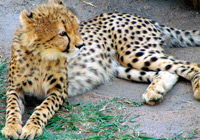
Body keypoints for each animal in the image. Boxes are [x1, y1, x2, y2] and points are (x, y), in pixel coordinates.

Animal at [0, 0, 83, 139]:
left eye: (76, 28)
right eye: (62, 33)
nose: (81, 45)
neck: (42, 55)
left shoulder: (59, 90)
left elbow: (44, 107)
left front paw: (32, 127)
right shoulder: (14, 87)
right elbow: (12, 106)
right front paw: (11, 126)